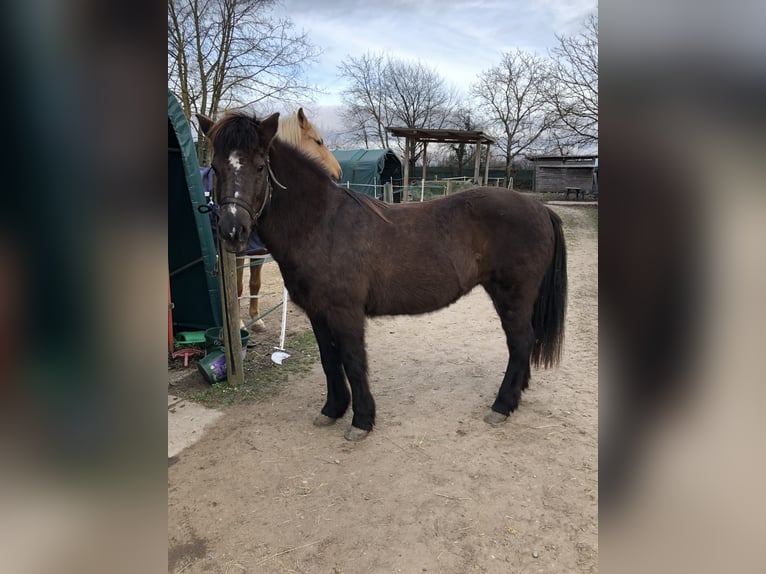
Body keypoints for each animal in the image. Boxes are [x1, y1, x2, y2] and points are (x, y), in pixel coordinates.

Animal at [235, 108, 341, 331]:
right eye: (318, 141)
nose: (338, 172)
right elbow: (238, 287)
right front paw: (239, 323)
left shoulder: (257, 250)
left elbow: (254, 284)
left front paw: (256, 319)